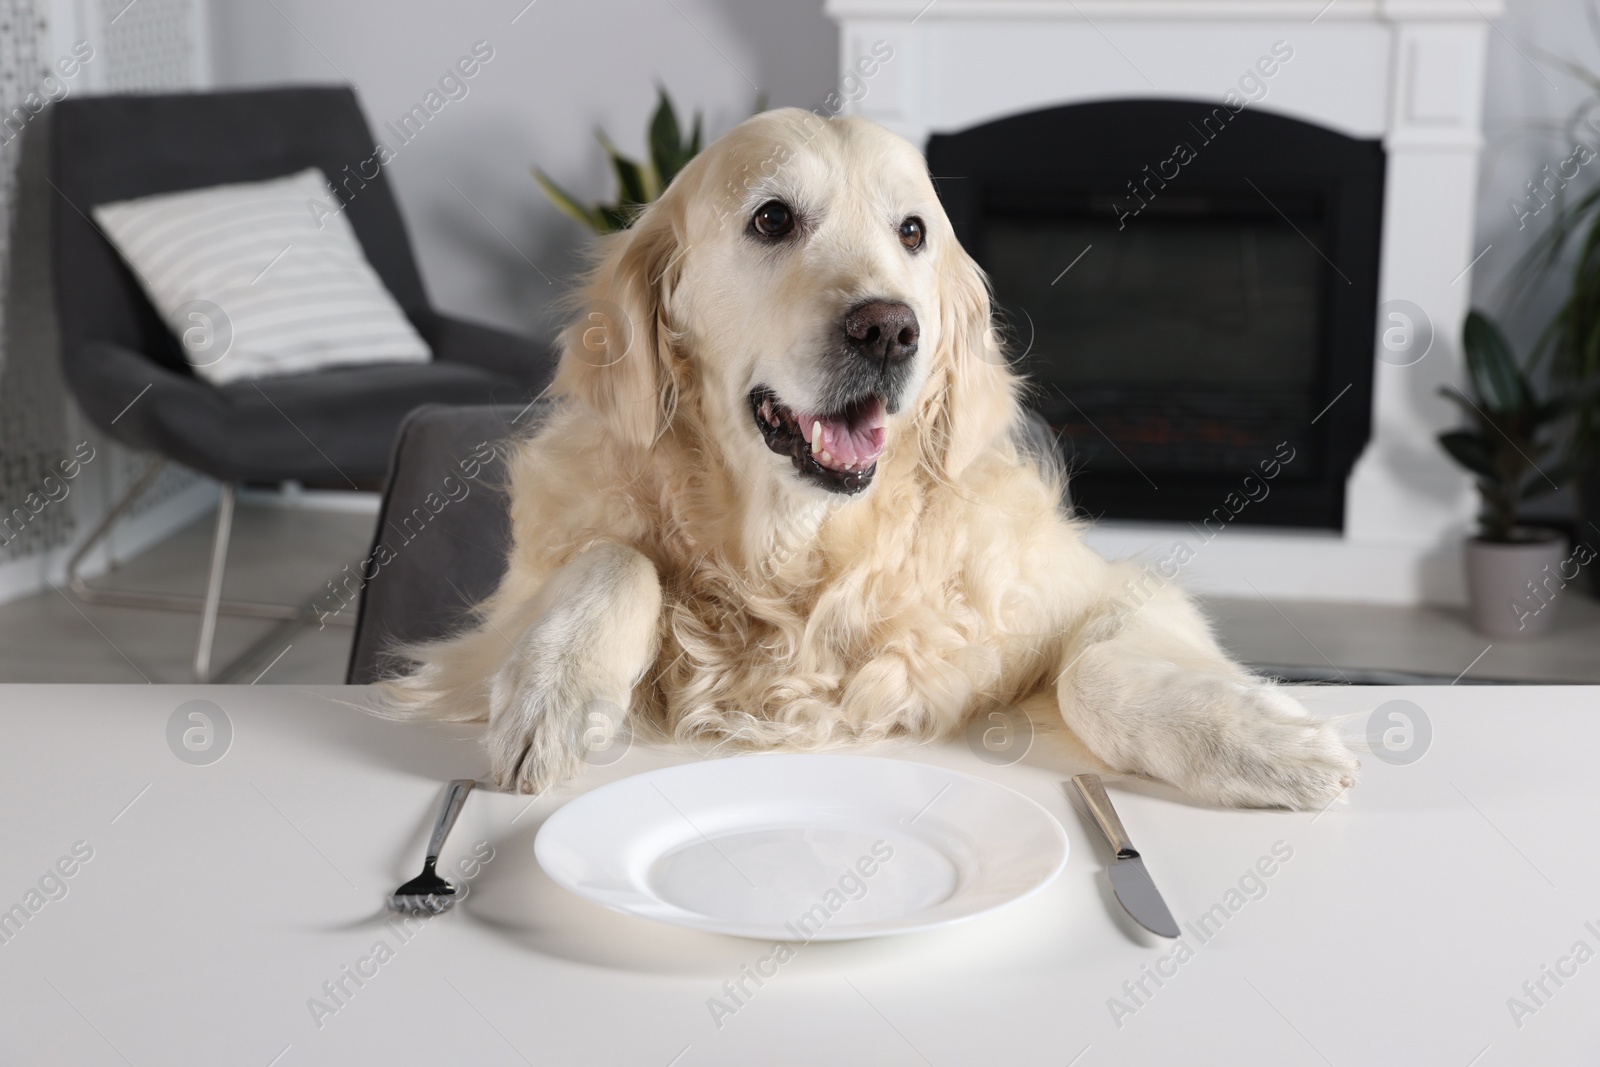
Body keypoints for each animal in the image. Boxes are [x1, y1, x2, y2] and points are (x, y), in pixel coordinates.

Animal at [380, 108, 1356, 809]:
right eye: (772, 218)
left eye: (913, 232)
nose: (890, 328)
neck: (803, 554)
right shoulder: (470, 643)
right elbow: (615, 558)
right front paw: (555, 693)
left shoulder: (1095, 590)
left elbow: (1091, 669)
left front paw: (1268, 745)